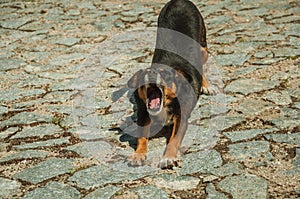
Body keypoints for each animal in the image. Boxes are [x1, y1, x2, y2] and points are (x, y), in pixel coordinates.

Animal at [126, 0, 211, 169]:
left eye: (164, 74)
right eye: (144, 74)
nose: (152, 75)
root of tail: (178, 1)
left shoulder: (181, 118)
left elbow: (173, 140)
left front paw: (168, 157)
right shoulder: (143, 116)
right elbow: (141, 138)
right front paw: (138, 154)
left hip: (202, 47)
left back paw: (205, 85)